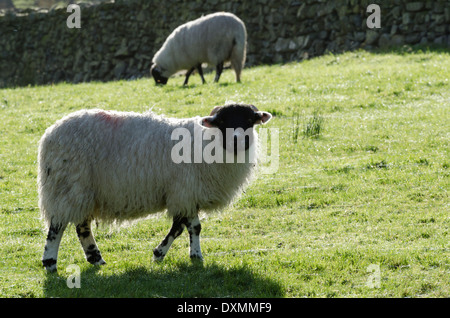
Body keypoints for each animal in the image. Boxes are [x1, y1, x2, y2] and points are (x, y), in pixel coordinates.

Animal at [38, 102, 270, 270]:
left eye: (249, 120)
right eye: (222, 121)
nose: (238, 141)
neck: (208, 144)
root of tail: (49, 134)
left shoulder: (185, 195)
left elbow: (181, 227)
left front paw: (167, 254)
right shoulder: (184, 192)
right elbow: (192, 227)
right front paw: (191, 255)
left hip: (83, 192)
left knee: (82, 227)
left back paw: (96, 259)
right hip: (67, 185)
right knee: (57, 227)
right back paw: (50, 263)